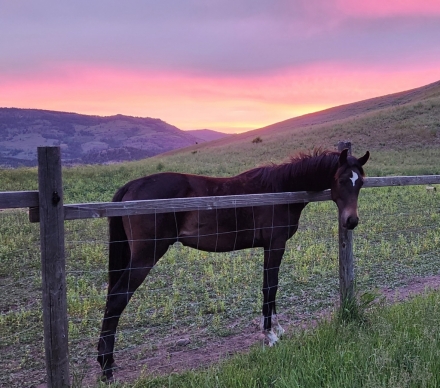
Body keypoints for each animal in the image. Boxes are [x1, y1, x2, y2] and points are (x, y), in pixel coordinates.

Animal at [98, 147, 370, 380]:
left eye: (360, 182)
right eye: (342, 180)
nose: (351, 221)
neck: (280, 189)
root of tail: (131, 186)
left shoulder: (270, 247)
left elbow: (271, 287)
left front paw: (276, 328)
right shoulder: (275, 245)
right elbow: (270, 287)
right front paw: (270, 335)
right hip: (145, 256)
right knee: (117, 298)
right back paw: (106, 367)